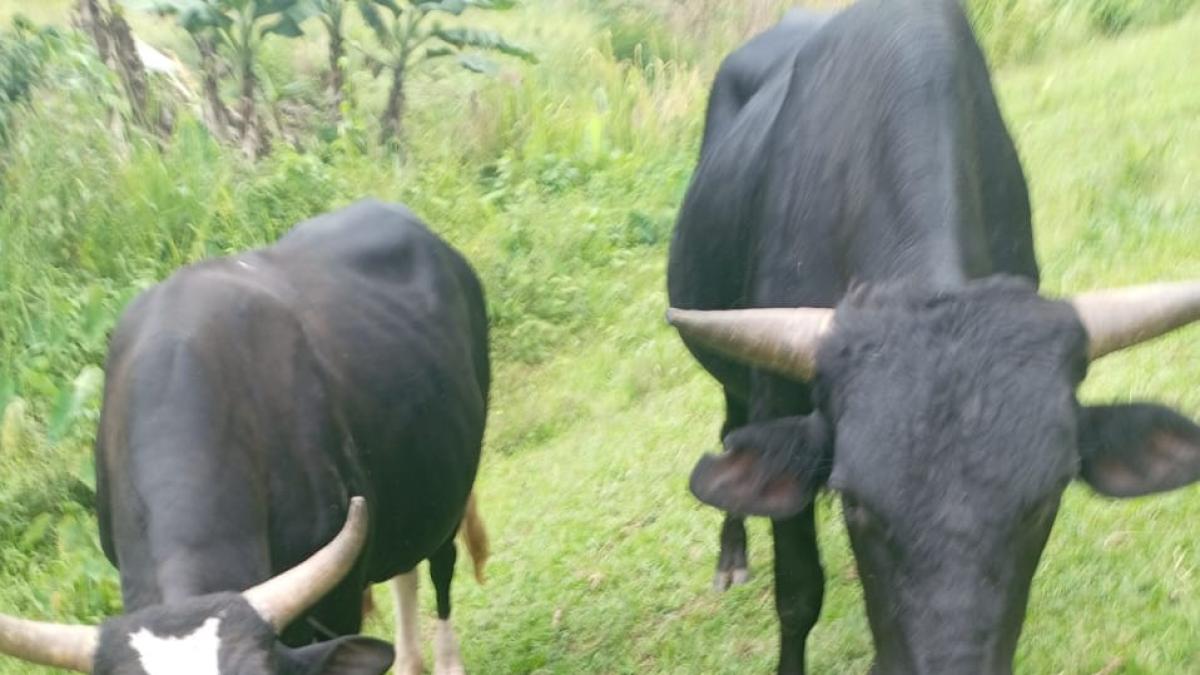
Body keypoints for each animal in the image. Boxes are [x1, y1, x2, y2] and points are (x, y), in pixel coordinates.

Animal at [666, 1, 1200, 673]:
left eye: (1047, 499)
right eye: (854, 501)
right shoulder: (778, 401)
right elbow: (798, 594)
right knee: (728, 432)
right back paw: (731, 556)